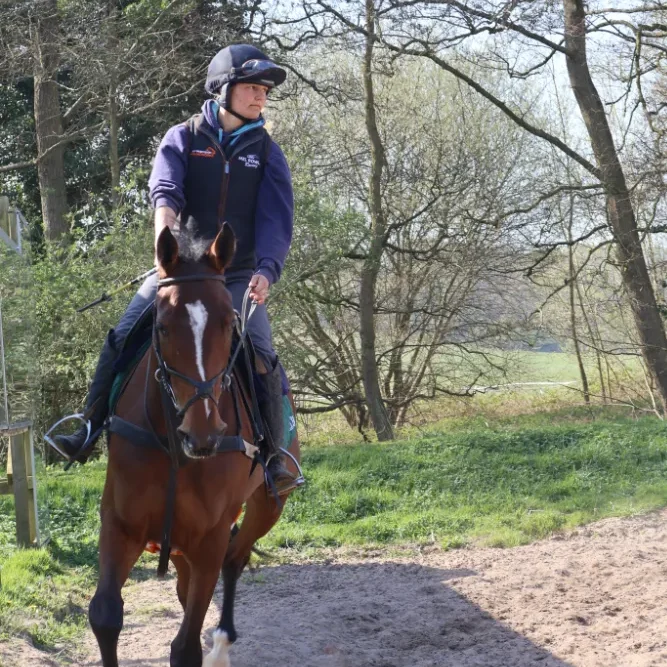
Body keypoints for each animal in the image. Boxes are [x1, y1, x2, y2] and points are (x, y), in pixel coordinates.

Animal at [88, 225, 302, 667]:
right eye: (163, 325)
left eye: (227, 324)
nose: (202, 432)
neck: (174, 446)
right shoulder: (120, 525)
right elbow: (105, 617)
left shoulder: (209, 539)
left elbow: (186, 647)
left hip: (267, 507)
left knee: (235, 559)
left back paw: (222, 643)